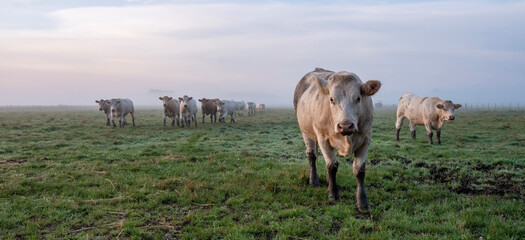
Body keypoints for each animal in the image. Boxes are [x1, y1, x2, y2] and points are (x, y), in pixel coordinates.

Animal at [290, 67, 380, 210]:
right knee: (312, 155)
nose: (345, 126)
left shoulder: (366, 139)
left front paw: (362, 201)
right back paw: (314, 180)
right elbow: (332, 166)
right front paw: (333, 193)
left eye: (358, 98)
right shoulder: (322, 137)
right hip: (306, 132)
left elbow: (359, 170)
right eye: (331, 99)